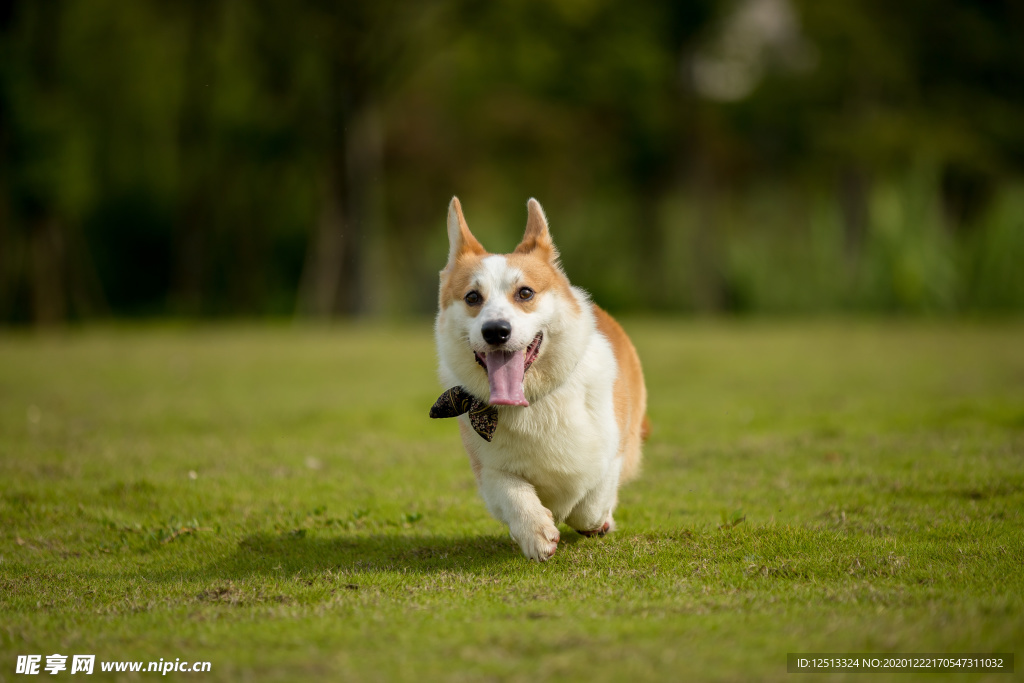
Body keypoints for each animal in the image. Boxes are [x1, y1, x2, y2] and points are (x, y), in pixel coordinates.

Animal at [432, 196, 647, 561]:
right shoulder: (489, 469)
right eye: (472, 297)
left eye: (525, 293)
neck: (532, 401)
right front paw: (536, 532)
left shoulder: (613, 451)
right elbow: (513, 492)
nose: (496, 331)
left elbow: (589, 504)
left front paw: (595, 521)